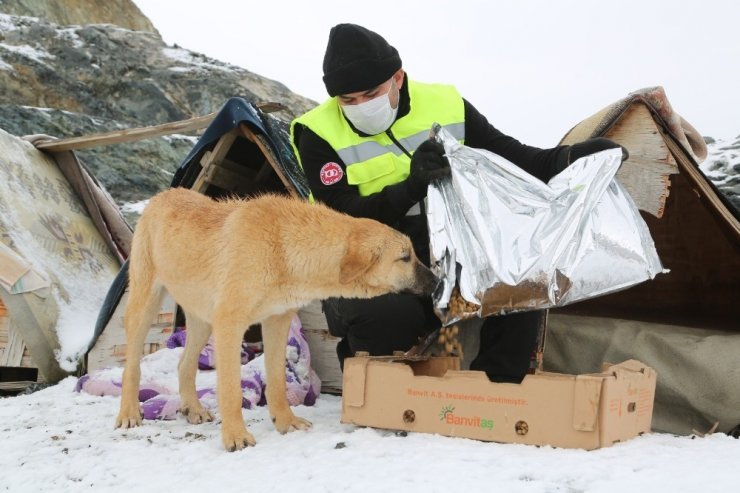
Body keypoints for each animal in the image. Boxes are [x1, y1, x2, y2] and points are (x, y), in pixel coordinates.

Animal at [115, 187, 436, 450]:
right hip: (146, 305)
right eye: (405, 257)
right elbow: (230, 390)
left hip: (202, 321)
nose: (436, 280)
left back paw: (193, 409)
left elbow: (278, 381)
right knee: (132, 366)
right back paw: (129, 413)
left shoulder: (277, 322)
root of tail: (163, 194)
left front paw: (285, 422)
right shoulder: (230, 325)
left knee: (184, 364)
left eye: (412, 253)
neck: (283, 247)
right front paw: (235, 436)